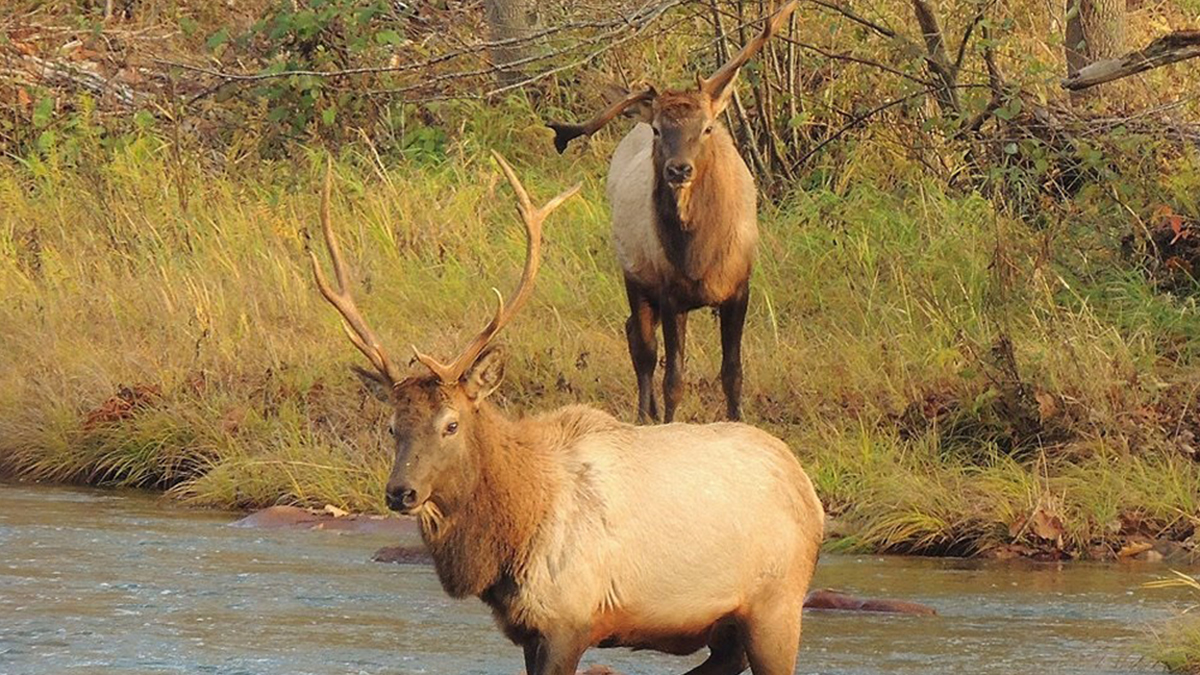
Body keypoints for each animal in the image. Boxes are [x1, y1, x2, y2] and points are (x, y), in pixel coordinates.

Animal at [308, 152, 825, 675]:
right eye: (393, 427)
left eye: (451, 424)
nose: (401, 492)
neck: (515, 527)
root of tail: (808, 491)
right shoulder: (526, 630)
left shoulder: (568, 620)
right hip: (727, 626)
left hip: (777, 603)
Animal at [546, 1, 800, 424]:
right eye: (659, 131)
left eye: (708, 127)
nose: (679, 170)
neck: (699, 259)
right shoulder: (668, 291)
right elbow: (674, 378)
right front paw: (670, 425)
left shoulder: (740, 286)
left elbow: (733, 371)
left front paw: (738, 423)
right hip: (633, 272)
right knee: (642, 345)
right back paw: (643, 415)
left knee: (635, 333)